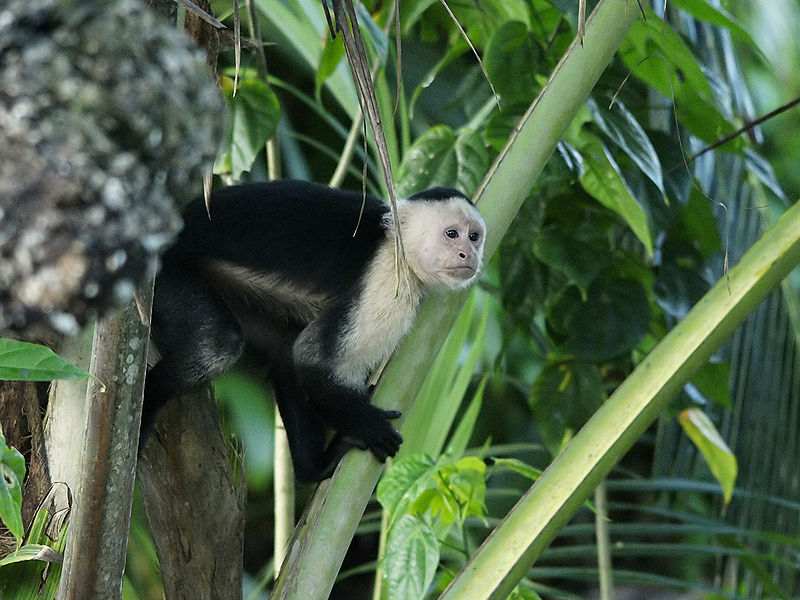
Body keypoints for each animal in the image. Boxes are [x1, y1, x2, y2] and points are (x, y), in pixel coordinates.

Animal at [144, 179, 488, 482]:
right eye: (452, 234)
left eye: (474, 237)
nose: (469, 255)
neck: (394, 242)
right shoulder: (388, 280)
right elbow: (311, 358)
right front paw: (370, 425)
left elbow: (298, 356)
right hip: (164, 275)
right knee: (221, 342)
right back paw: (145, 404)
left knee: (282, 349)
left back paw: (313, 469)